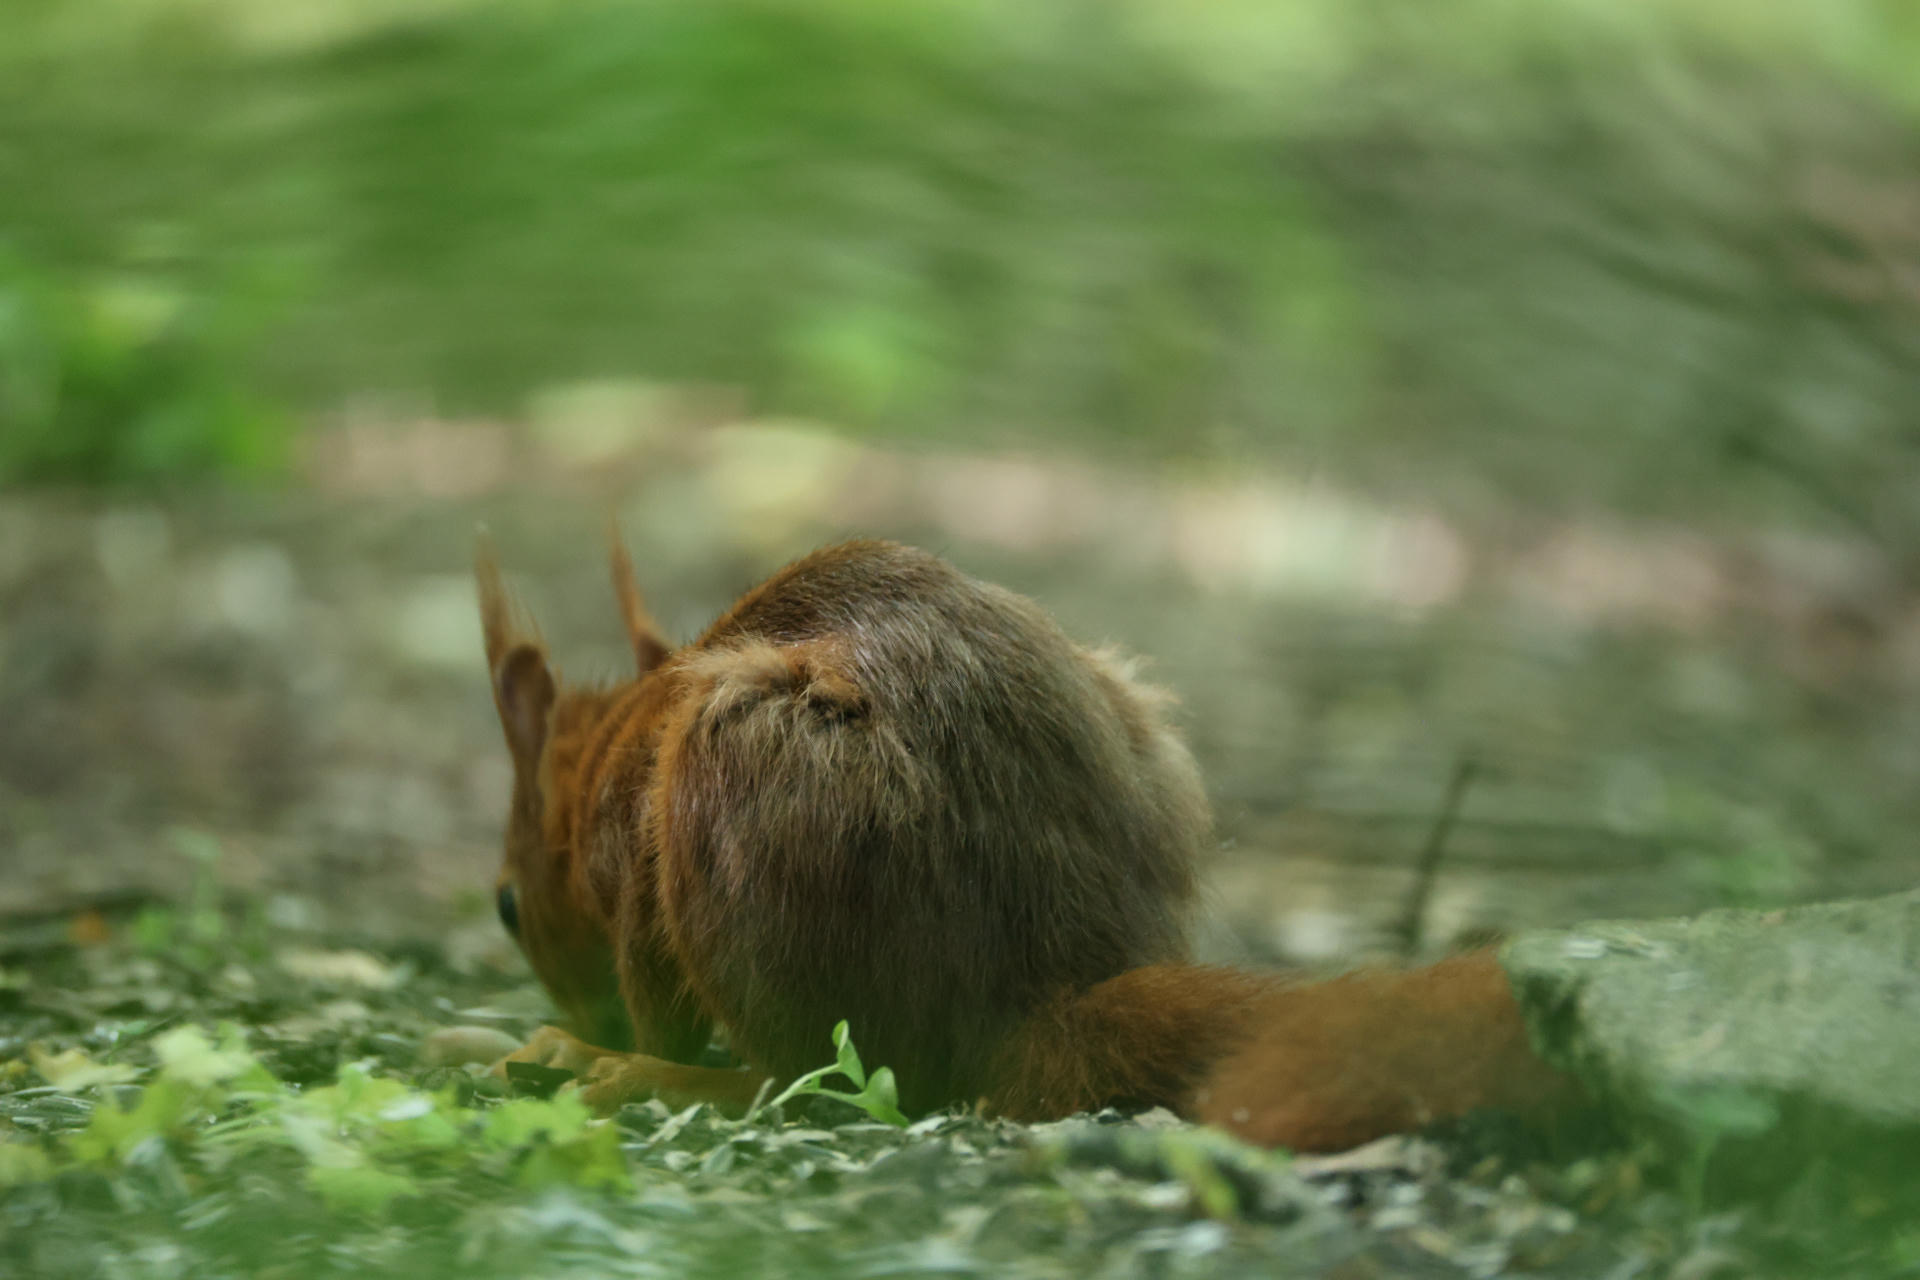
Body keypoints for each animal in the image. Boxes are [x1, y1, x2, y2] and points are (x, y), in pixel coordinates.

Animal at [478, 533, 1568, 1151]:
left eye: (505, 905)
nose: (574, 1004)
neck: (609, 754)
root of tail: (1036, 994)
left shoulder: (630, 870)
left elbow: (656, 999)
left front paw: (612, 1045)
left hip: (735, 782)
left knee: (797, 1076)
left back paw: (645, 1073)